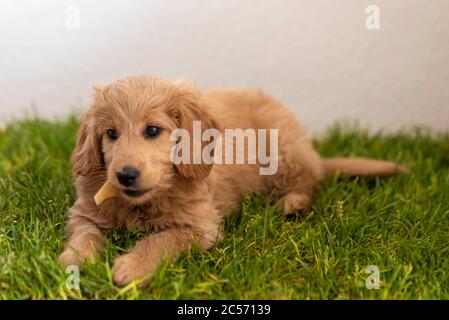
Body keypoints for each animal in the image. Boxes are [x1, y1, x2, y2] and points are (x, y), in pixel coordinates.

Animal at [57, 75, 404, 288]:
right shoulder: (87, 211)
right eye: (111, 133)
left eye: (152, 130)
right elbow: (85, 234)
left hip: (282, 152)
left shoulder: (201, 225)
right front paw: (74, 262)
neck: (142, 202)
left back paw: (292, 203)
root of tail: (313, 154)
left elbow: (163, 239)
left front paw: (133, 266)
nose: (125, 175)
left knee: (308, 181)